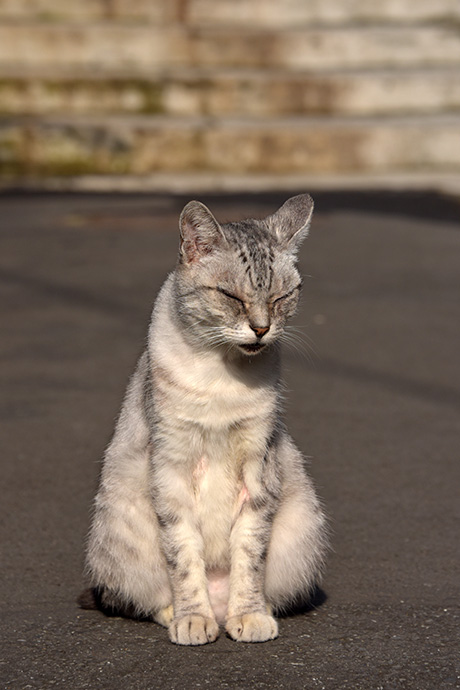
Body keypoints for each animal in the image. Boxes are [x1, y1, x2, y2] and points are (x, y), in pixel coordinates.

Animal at [82, 194, 328, 644]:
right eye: (231, 296)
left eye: (282, 297)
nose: (261, 329)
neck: (221, 373)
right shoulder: (172, 466)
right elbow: (184, 558)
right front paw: (193, 618)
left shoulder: (258, 468)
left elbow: (249, 555)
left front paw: (248, 615)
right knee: (148, 598)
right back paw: (187, 615)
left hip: (301, 532)